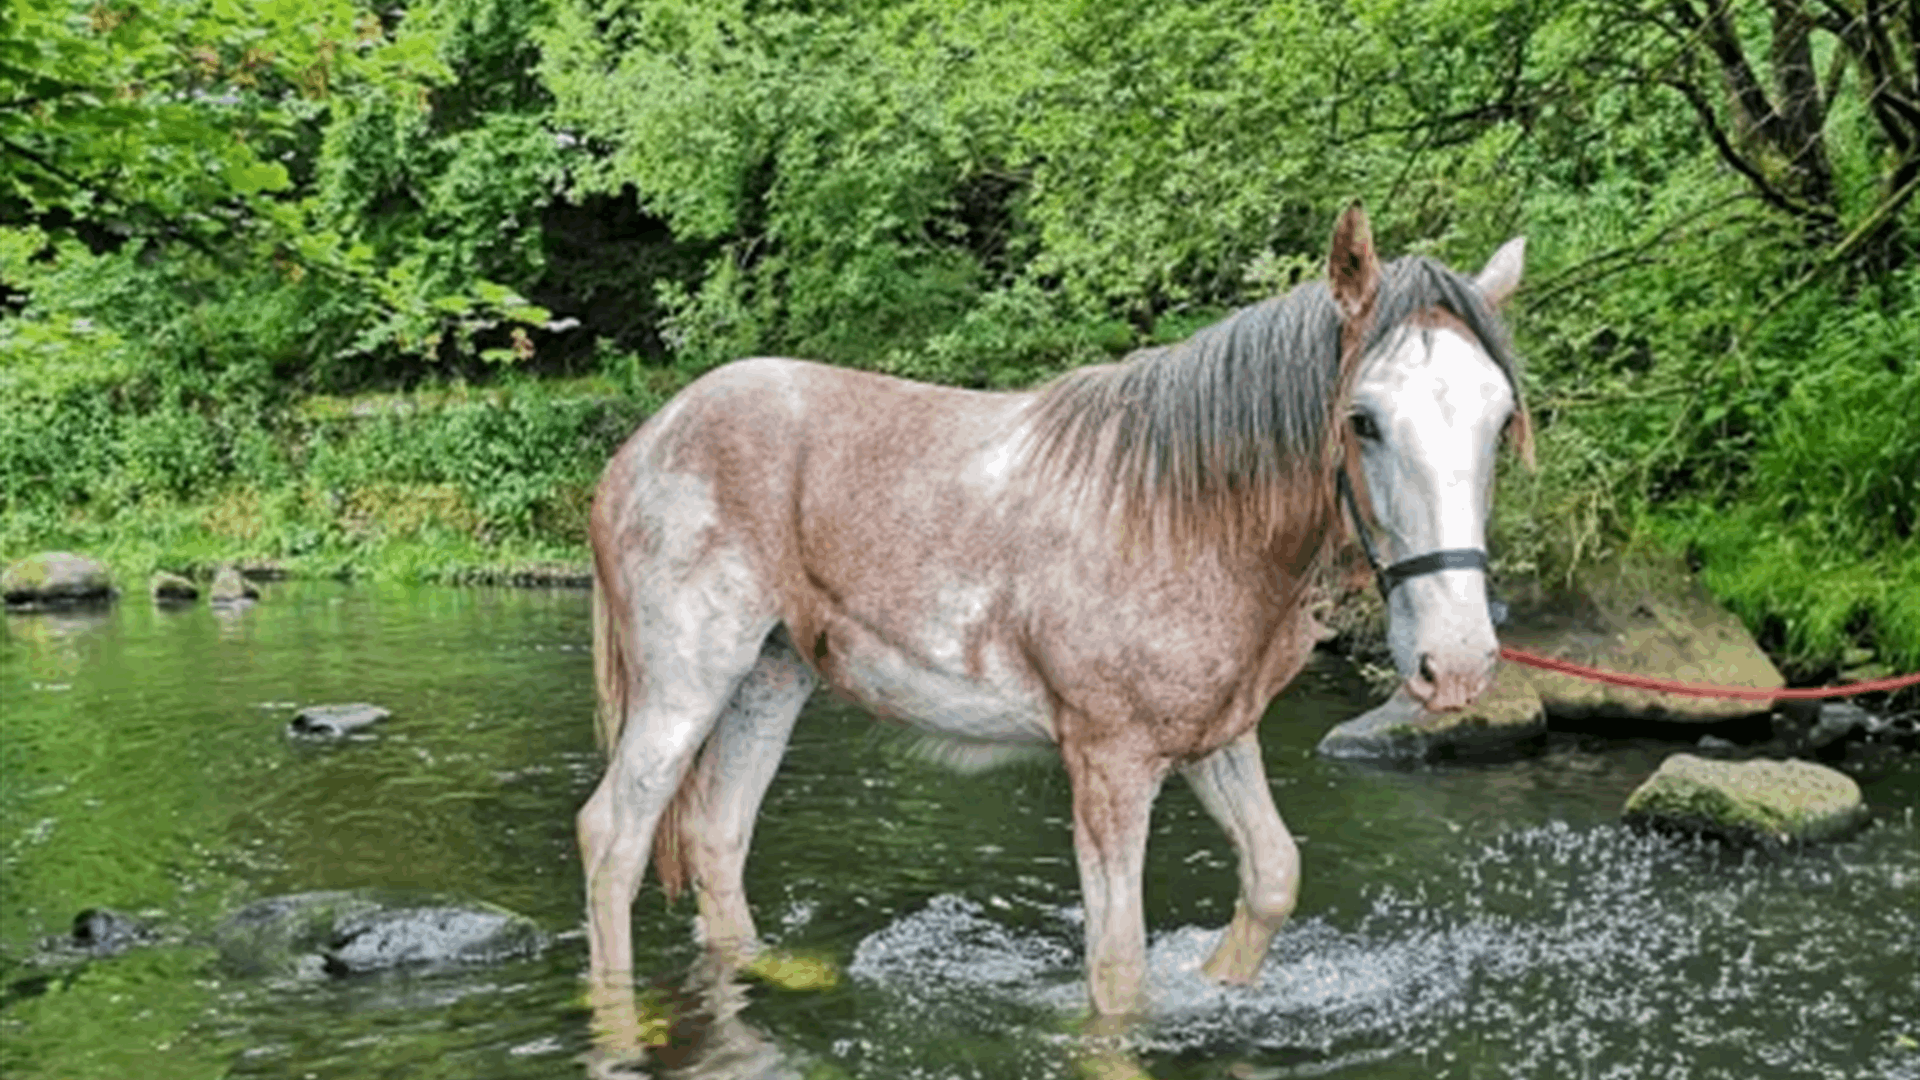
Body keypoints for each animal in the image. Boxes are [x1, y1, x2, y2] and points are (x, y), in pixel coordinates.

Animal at [576, 197, 1536, 1030]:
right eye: (1364, 421)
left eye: (1499, 423)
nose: (1456, 662)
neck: (1184, 518)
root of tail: (645, 443)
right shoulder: (1110, 764)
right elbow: (1117, 974)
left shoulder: (1216, 738)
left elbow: (1272, 878)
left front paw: (1218, 983)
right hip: (687, 682)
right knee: (613, 838)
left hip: (770, 677)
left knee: (717, 838)